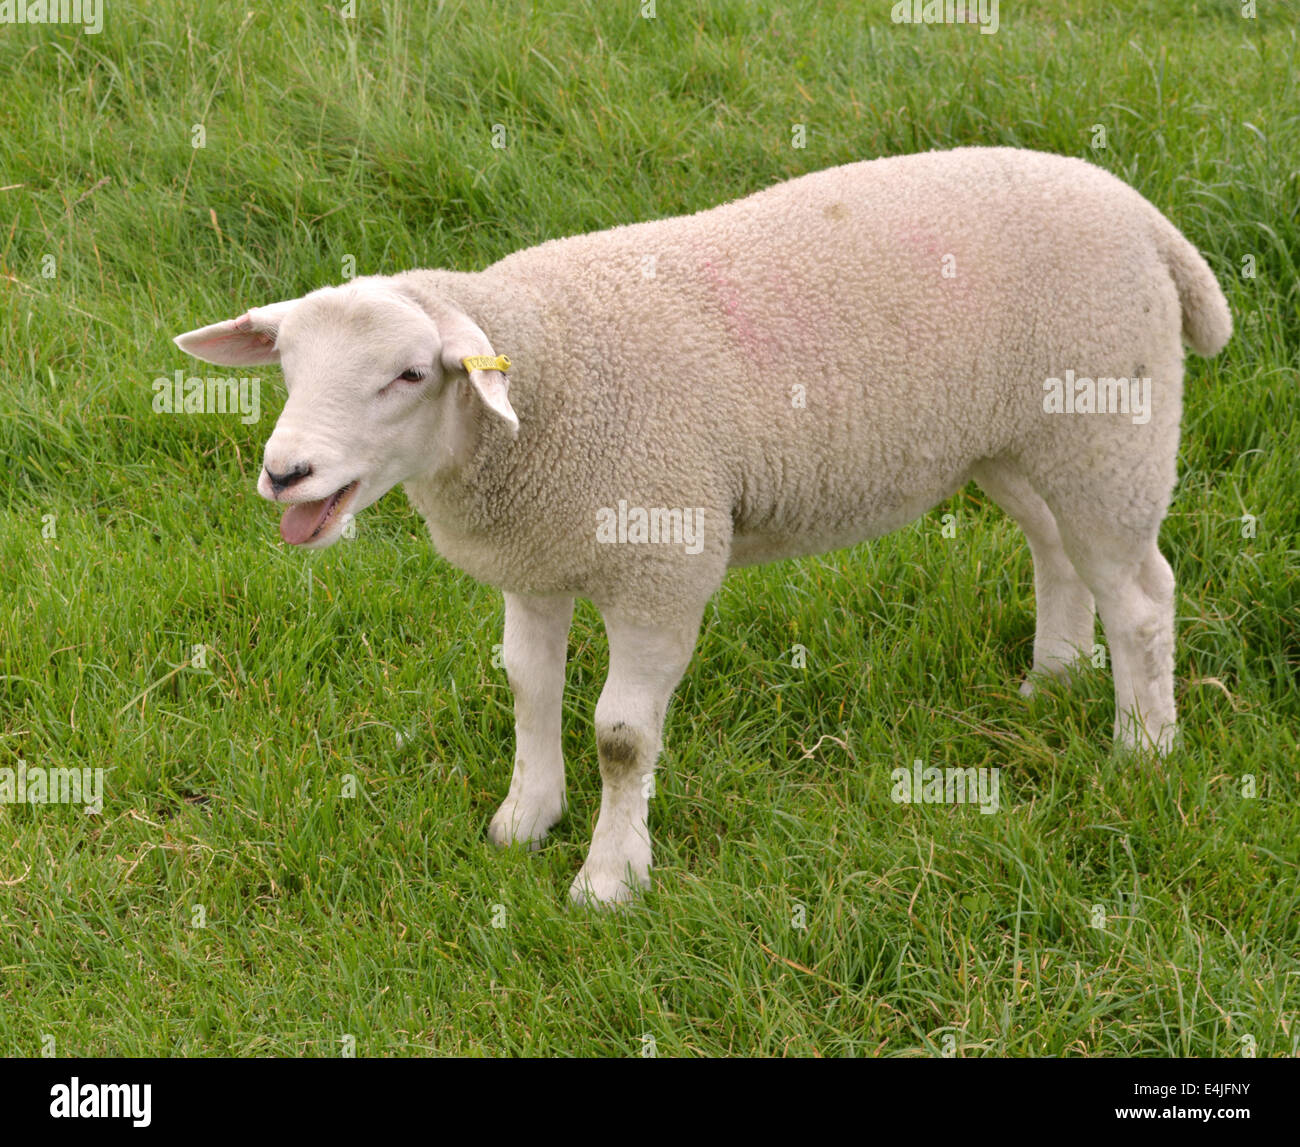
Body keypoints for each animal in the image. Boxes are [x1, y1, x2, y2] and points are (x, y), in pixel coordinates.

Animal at [172, 145, 1227, 905]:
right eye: (286, 365)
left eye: (407, 373)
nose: (285, 472)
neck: (546, 389)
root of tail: (1145, 217)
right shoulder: (539, 559)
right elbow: (526, 686)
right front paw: (527, 817)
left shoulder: (661, 565)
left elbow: (620, 735)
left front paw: (608, 876)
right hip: (1018, 439)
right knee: (1058, 549)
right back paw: (1055, 677)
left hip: (1110, 425)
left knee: (1142, 595)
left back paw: (1143, 746)